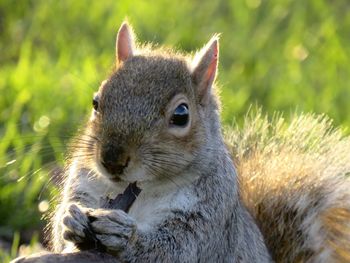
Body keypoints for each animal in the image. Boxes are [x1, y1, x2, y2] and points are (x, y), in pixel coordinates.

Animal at [45, 22, 350, 263]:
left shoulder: (208, 216)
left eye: (181, 115)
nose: (112, 160)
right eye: (96, 102)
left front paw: (124, 236)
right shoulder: (85, 184)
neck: (144, 188)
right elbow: (64, 231)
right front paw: (71, 220)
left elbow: (176, 250)